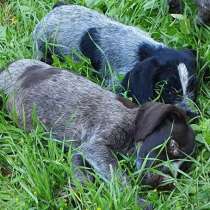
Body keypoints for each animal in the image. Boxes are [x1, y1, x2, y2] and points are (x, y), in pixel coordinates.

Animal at [0, 59, 195, 190]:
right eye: (172, 145)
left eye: (183, 168)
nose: (162, 184)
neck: (133, 122)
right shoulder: (97, 144)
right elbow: (119, 178)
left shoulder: (80, 147)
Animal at [32, 3, 197, 113]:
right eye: (168, 91)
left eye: (193, 86)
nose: (192, 114)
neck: (145, 51)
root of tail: (56, 8)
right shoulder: (117, 82)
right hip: (41, 45)